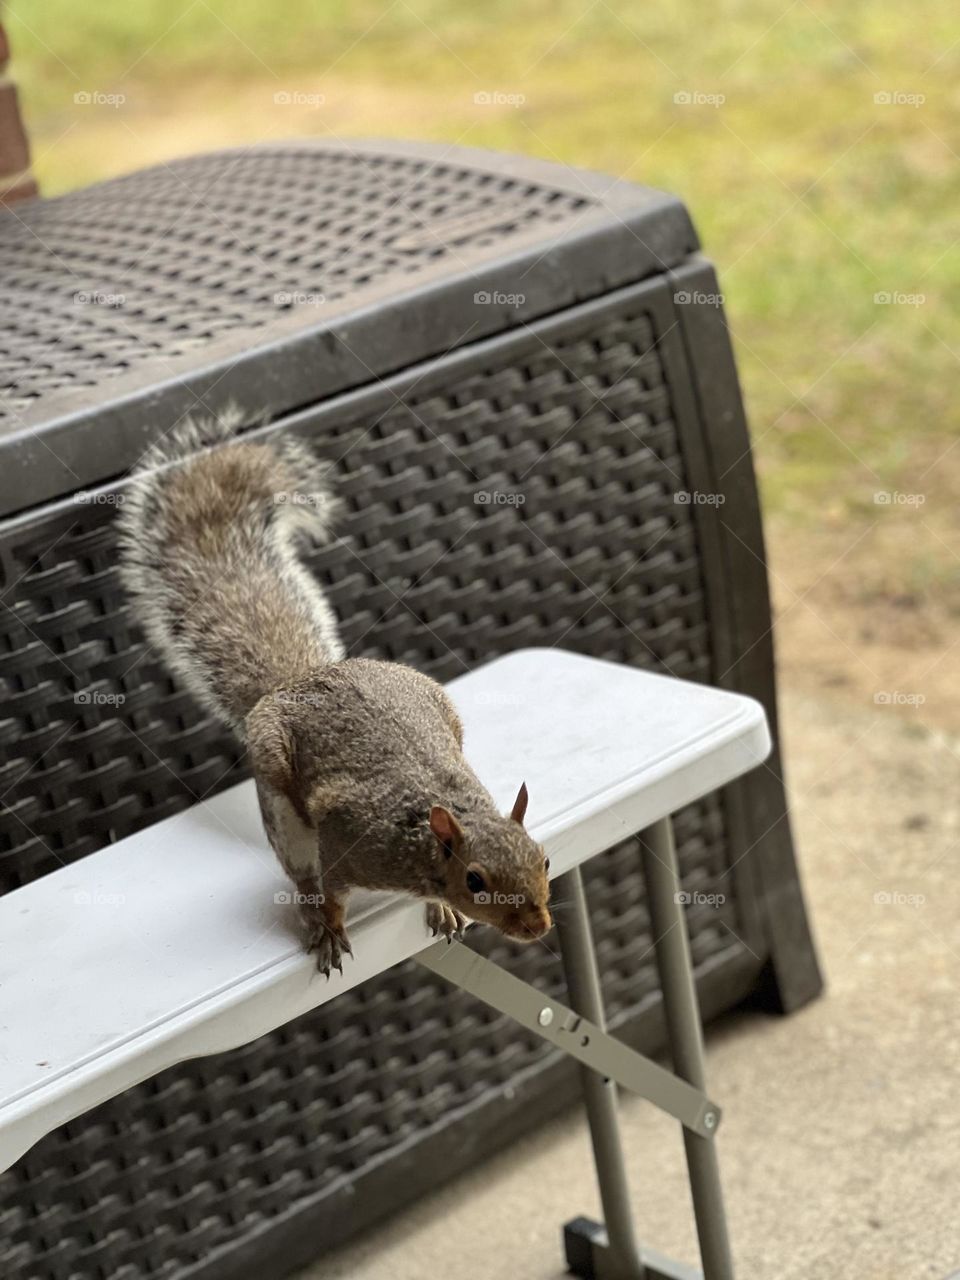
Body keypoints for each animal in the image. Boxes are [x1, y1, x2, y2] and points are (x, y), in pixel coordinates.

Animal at [118, 410, 552, 975]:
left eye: (543, 857)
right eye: (475, 880)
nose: (539, 926)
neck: (428, 825)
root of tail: (297, 681)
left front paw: (440, 909)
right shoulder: (349, 842)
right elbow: (332, 892)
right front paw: (329, 927)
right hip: (281, 803)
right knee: (300, 872)